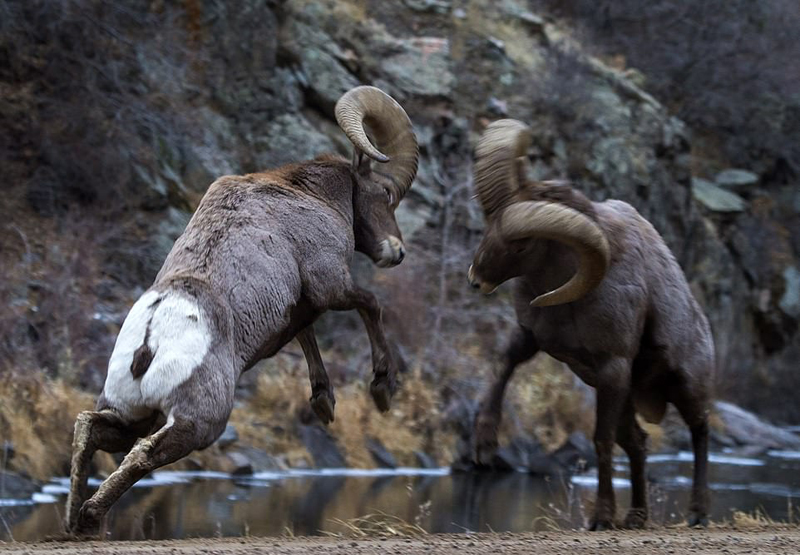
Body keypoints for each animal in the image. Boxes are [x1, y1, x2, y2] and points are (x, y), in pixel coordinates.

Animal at [65, 86, 422, 536]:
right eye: (387, 195)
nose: (398, 252)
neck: (312, 195)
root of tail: (150, 340)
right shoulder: (330, 284)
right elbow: (370, 306)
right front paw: (382, 388)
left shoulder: (300, 307)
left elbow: (306, 333)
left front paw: (323, 402)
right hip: (198, 423)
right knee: (144, 452)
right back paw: (90, 517)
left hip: (132, 414)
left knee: (90, 430)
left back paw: (74, 520)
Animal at [468, 120, 712, 528]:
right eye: (490, 225)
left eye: (521, 245)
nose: (476, 278)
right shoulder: (532, 338)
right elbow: (504, 365)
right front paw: (484, 444)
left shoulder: (612, 368)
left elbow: (600, 440)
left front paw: (601, 518)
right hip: (627, 398)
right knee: (638, 443)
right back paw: (637, 518)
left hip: (684, 388)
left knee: (699, 430)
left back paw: (697, 513)